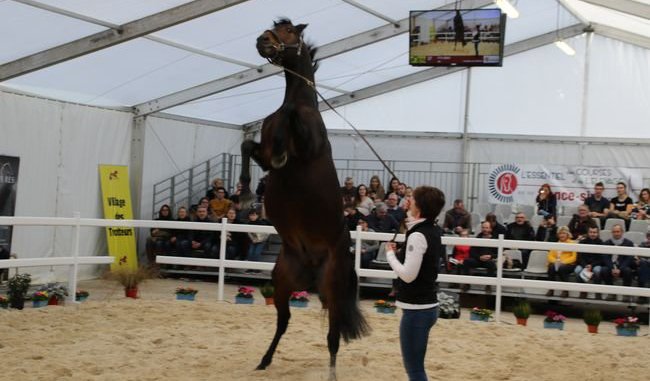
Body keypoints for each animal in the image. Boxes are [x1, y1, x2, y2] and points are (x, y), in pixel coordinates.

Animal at [239, 20, 370, 378]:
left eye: (288, 31)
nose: (262, 41)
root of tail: (312, 270)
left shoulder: (307, 145)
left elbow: (290, 119)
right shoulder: (263, 157)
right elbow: (247, 145)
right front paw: (243, 192)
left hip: (333, 289)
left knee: (333, 334)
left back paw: (332, 373)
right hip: (283, 282)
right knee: (284, 321)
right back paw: (264, 361)